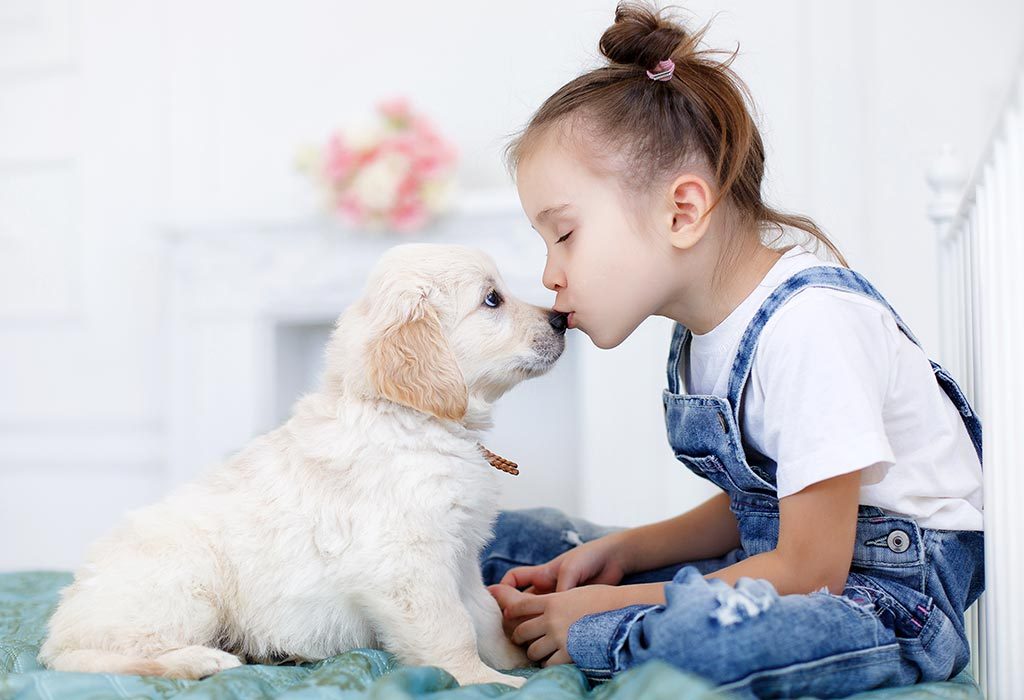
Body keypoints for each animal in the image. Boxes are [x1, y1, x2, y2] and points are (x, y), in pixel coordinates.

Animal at [39, 244, 569, 687]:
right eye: (492, 299)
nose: (562, 318)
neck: (408, 419)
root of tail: (59, 627)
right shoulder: (409, 562)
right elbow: (452, 628)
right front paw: (487, 681)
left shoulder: (461, 556)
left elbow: (485, 614)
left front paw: (520, 657)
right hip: (183, 589)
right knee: (97, 659)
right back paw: (200, 660)